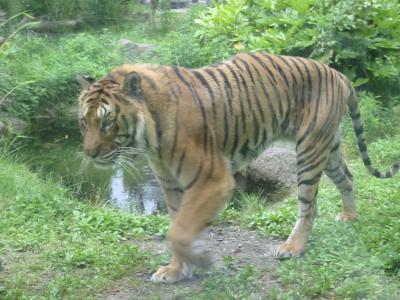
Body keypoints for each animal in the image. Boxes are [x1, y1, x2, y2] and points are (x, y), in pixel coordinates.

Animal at [76, 52, 398, 284]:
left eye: (107, 121)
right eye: (84, 121)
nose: (89, 153)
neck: (150, 138)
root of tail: (338, 73)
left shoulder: (213, 180)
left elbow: (178, 232)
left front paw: (201, 261)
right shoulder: (170, 184)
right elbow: (177, 226)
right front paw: (177, 270)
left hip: (310, 150)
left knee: (309, 206)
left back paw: (293, 248)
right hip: (328, 148)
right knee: (348, 178)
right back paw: (350, 216)